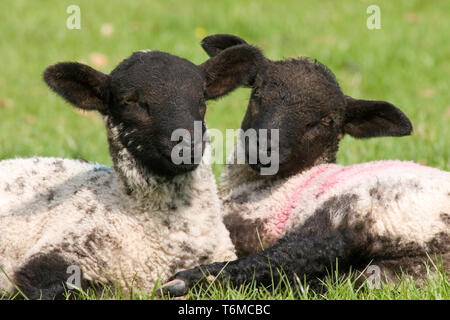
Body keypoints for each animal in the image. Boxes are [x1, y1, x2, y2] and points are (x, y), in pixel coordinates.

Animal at [163, 35, 450, 296]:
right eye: (257, 93)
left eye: (326, 121)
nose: (263, 149)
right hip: (399, 271)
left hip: (359, 214)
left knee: (287, 258)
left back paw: (186, 282)